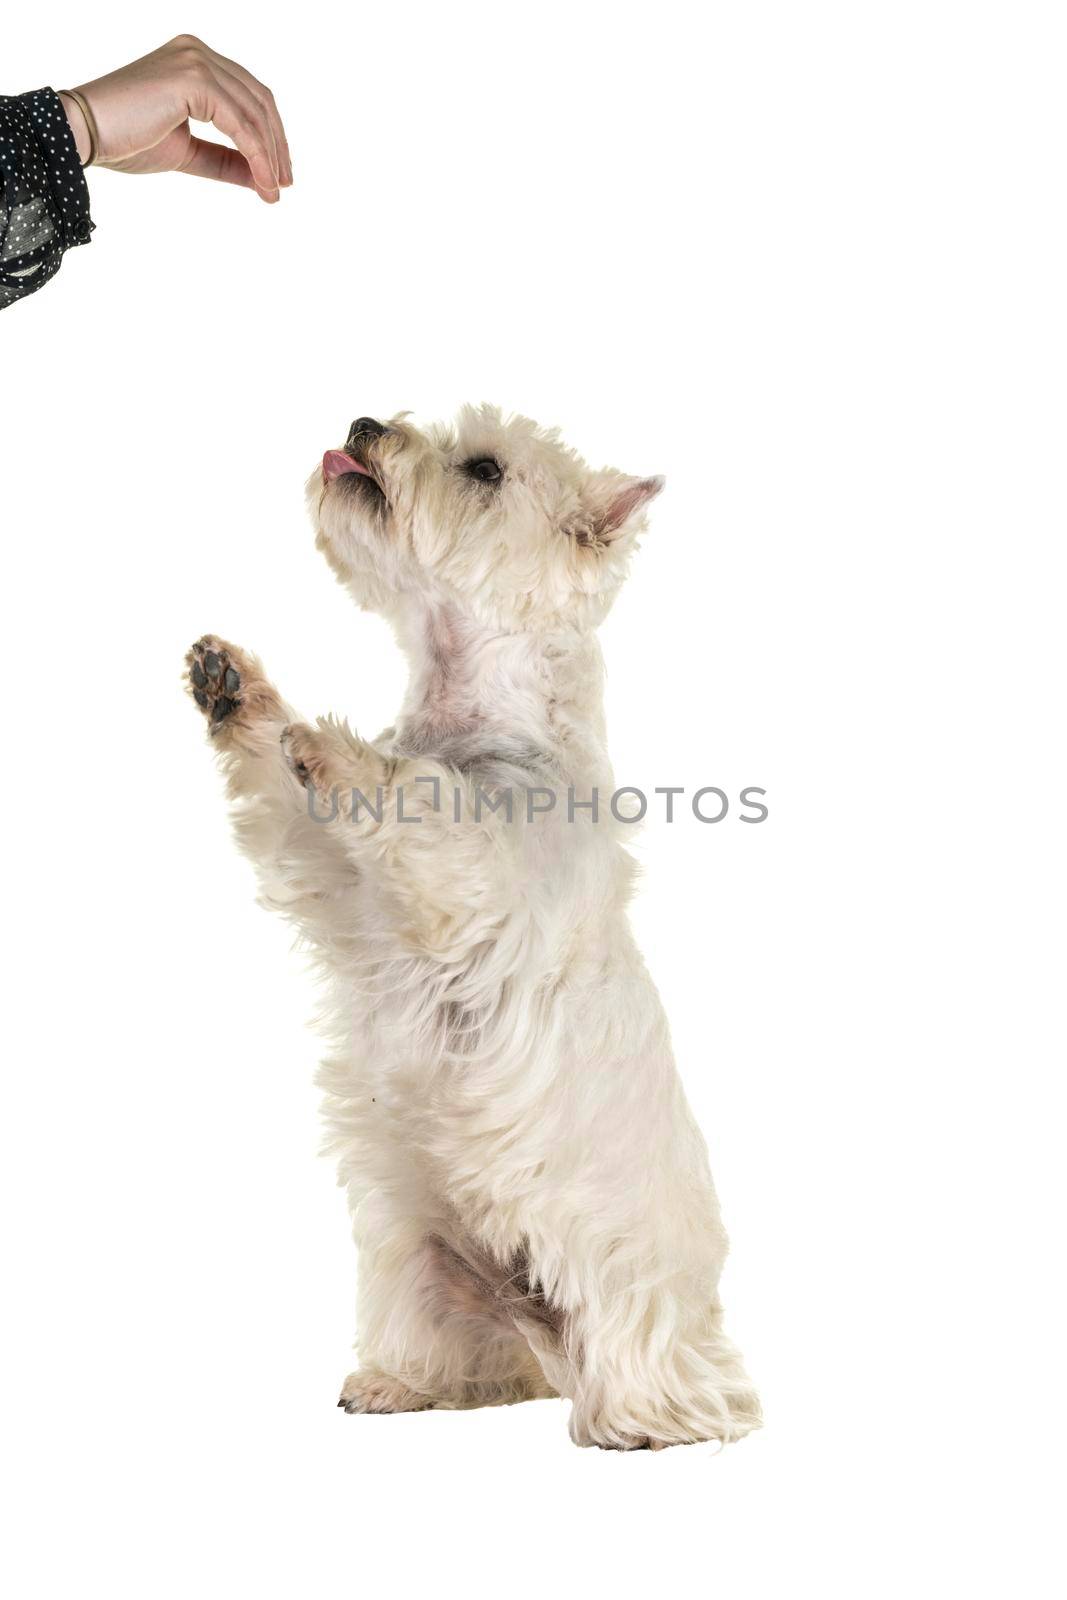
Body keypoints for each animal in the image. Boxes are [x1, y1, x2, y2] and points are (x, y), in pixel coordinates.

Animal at [189, 403, 758, 1452]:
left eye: (485, 468)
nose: (361, 424)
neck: (466, 702)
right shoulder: (340, 889)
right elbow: (292, 806)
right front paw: (234, 688)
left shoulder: (482, 874)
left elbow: (415, 796)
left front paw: (336, 747)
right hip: (420, 1256)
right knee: (472, 1362)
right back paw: (397, 1385)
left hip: (623, 1281)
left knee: (661, 1368)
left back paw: (646, 1422)